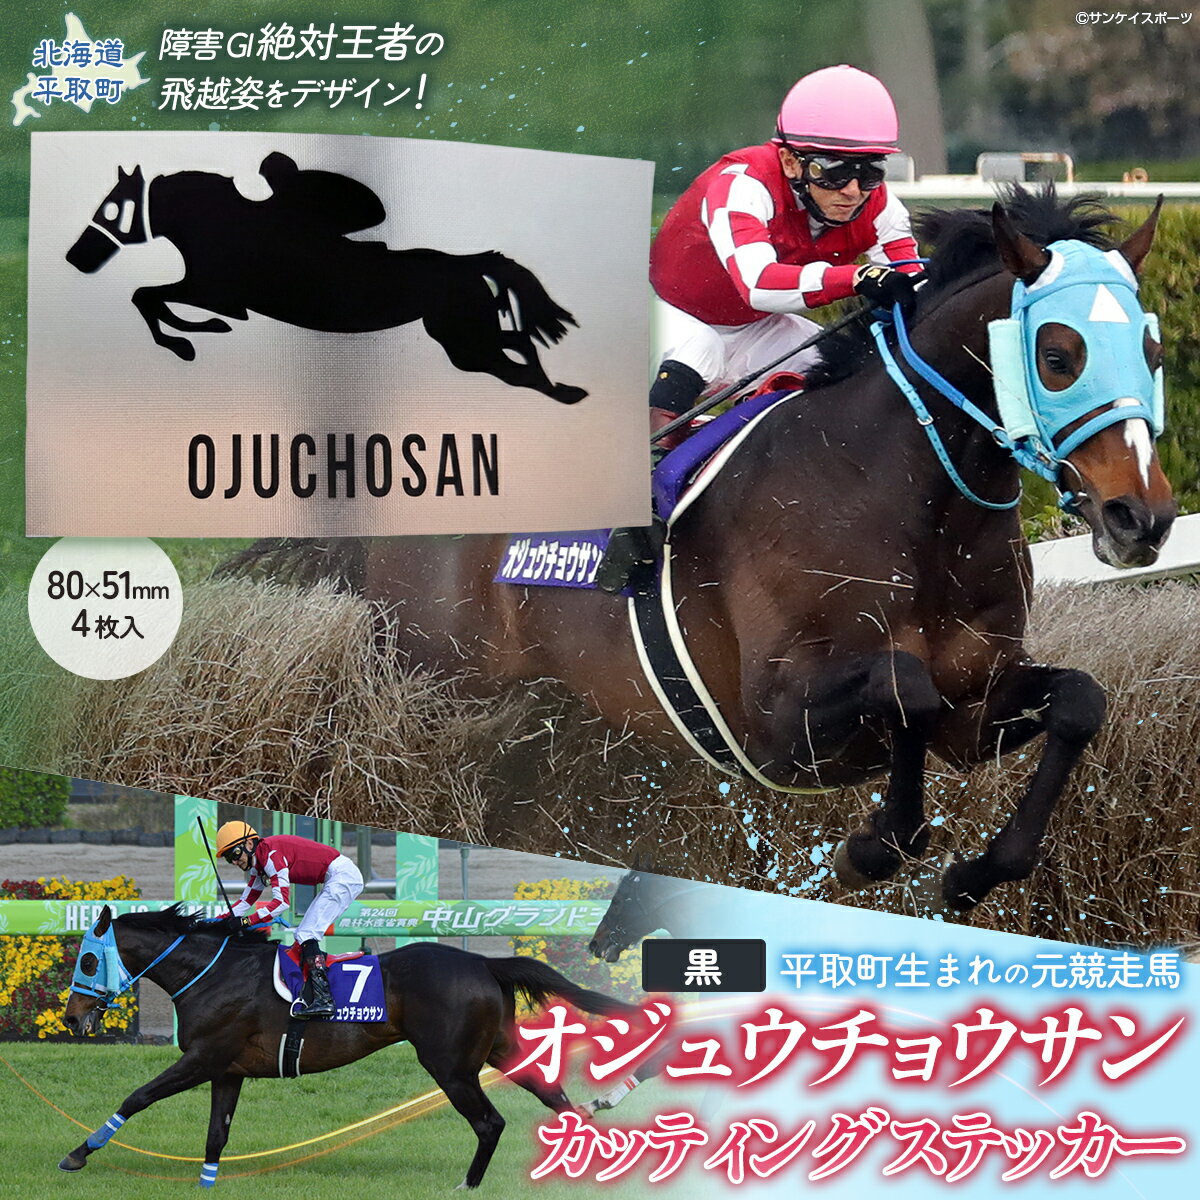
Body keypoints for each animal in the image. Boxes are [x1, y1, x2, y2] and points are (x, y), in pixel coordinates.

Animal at [60, 904, 634, 1188]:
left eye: (87, 959)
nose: (70, 1016)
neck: (213, 972)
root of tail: (484, 962)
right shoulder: (228, 1069)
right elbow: (216, 1135)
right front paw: (205, 1184)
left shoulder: (203, 1057)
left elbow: (138, 1096)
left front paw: (78, 1154)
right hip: (501, 1050)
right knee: (560, 1101)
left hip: (450, 1066)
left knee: (490, 1123)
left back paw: (467, 1186)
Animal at [65, 153, 588, 404]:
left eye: (110, 209)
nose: (74, 258)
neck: (219, 223)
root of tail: (468, 261)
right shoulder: (211, 291)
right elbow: (149, 298)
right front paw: (193, 337)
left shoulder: (216, 291)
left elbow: (147, 297)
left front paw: (187, 340)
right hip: (462, 335)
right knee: (519, 344)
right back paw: (565, 388)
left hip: (462, 340)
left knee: (517, 359)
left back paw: (562, 392)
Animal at [230, 188, 1176, 913]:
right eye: (1059, 353)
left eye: (1153, 346)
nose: (1143, 518)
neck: (906, 497)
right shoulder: (773, 723)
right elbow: (902, 686)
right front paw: (875, 846)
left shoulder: (973, 707)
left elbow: (1076, 702)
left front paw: (975, 872)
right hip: (435, 690)